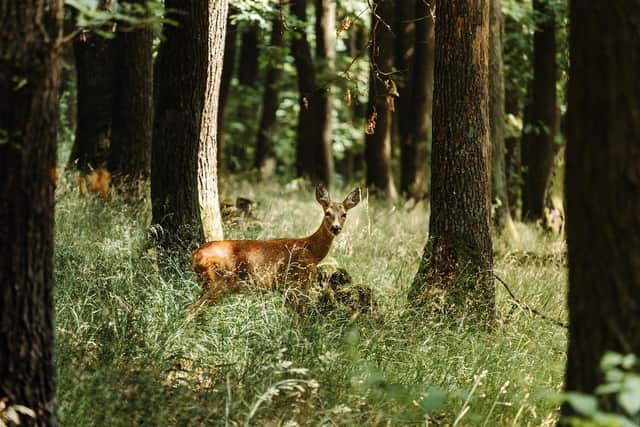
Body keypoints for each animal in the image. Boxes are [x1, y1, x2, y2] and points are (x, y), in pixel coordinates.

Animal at [187, 184, 361, 320]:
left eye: (344, 214)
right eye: (327, 213)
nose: (336, 228)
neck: (310, 250)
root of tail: (194, 255)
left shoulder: (286, 289)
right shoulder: (296, 283)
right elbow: (301, 318)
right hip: (217, 282)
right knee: (191, 310)